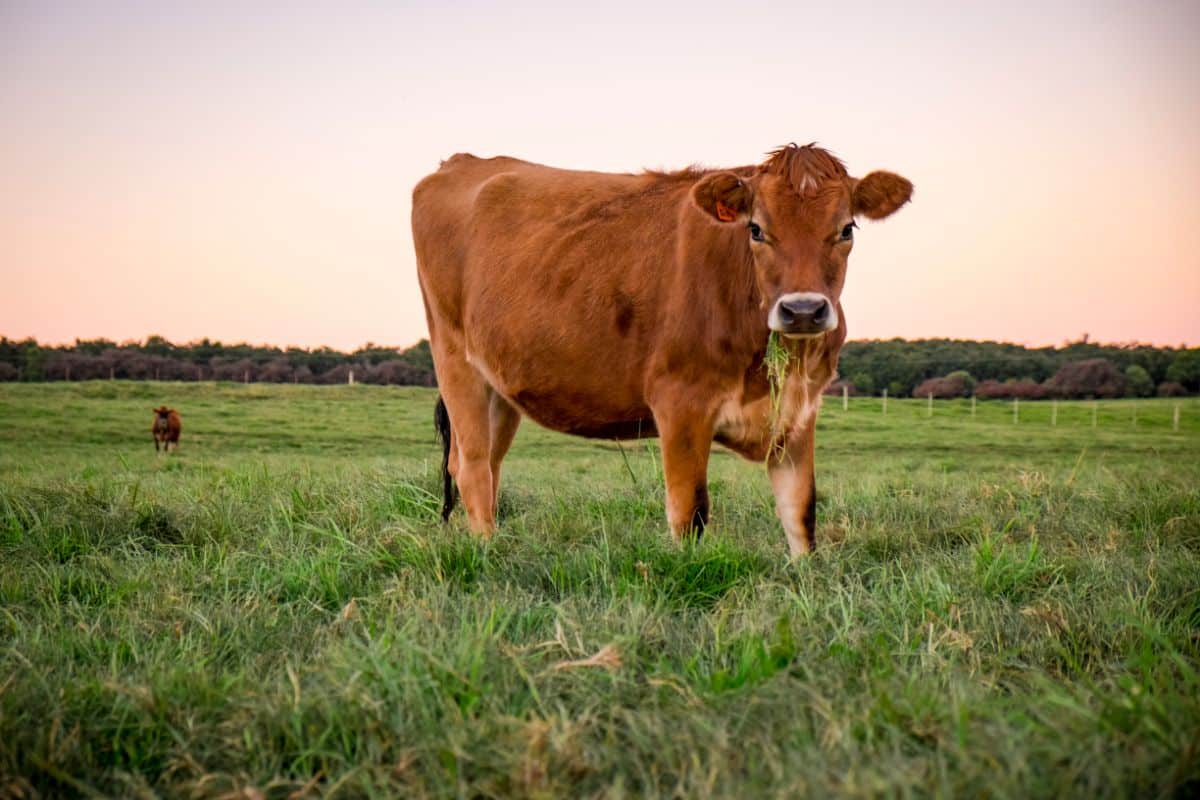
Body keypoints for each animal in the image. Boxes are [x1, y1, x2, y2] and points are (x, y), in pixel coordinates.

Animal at [412, 143, 907, 556]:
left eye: (846, 229)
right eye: (756, 229)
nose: (803, 310)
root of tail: (463, 161)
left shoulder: (799, 411)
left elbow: (802, 514)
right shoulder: (681, 403)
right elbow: (690, 513)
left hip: (500, 385)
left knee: (483, 464)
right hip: (454, 358)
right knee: (473, 467)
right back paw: (487, 554)